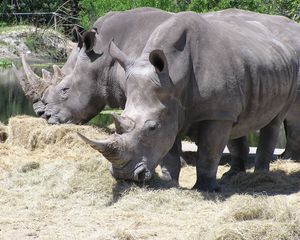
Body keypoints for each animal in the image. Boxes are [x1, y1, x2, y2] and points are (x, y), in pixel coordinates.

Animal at [79, 10, 300, 191]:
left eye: (151, 127)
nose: (123, 175)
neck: (173, 77)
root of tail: (279, 41)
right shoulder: (171, 109)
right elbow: (169, 153)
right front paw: (169, 183)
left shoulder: (213, 115)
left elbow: (209, 152)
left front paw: (205, 189)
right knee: (238, 122)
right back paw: (232, 176)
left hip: (292, 72)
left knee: (274, 122)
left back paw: (261, 176)